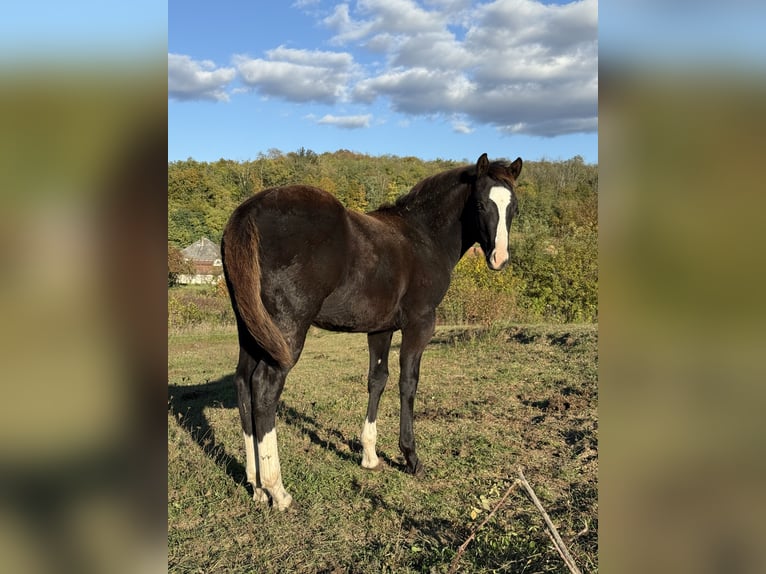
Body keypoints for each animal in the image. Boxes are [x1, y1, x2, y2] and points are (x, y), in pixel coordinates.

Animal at [221, 153, 521, 510]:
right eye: (479, 204)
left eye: (513, 207)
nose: (499, 258)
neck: (423, 237)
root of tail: (248, 212)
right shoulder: (420, 323)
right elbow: (408, 383)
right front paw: (411, 457)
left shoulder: (381, 329)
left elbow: (377, 380)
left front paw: (369, 455)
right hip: (285, 331)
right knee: (264, 388)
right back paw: (276, 490)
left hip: (251, 329)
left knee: (242, 383)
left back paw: (255, 485)